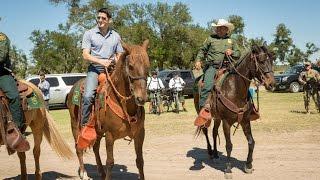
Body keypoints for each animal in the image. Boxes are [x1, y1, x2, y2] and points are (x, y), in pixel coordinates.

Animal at [67, 39, 150, 180]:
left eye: (147, 65)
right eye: (131, 66)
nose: (141, 98)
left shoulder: (140, 134)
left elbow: (140, 161)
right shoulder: (110, 136)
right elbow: (110, 162)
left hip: (98, 130)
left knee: (95, 147)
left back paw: (101, 172)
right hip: (75, 126)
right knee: (79, 147)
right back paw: (83, 173)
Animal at [194, 44, 276, 179]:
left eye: (272, 61)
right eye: (261, 61)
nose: (272, 84)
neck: (235, 89)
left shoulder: (245, 120)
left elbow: (251, 142)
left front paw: (248, 165)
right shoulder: (226, 122)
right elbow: (229, 145)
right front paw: (228, 169)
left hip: (217, 118)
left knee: (214, 132)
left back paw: (216, 155)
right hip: (205, 115)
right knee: (205, 131)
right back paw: (210, 152)